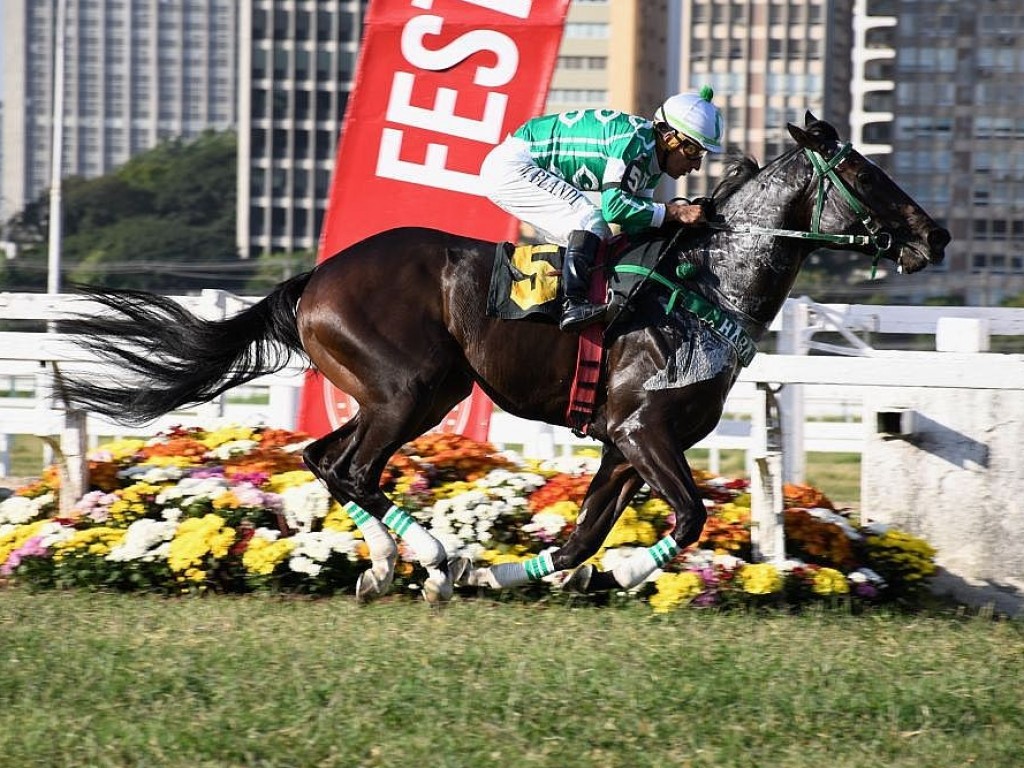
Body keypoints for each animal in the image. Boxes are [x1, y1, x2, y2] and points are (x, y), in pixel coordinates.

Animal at [59, 117, 946, 606]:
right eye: (863, 172)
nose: (933, 235)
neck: (707, 287)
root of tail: (317, 275)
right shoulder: (644, 430)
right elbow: (690, 517)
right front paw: (628, 570)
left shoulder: (622, 445)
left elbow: (583, 537)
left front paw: (526, 576)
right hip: (411, 389)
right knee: (352, 467)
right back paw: (430, 559)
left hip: (403, 393)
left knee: (325, 459)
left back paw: (396, 567)